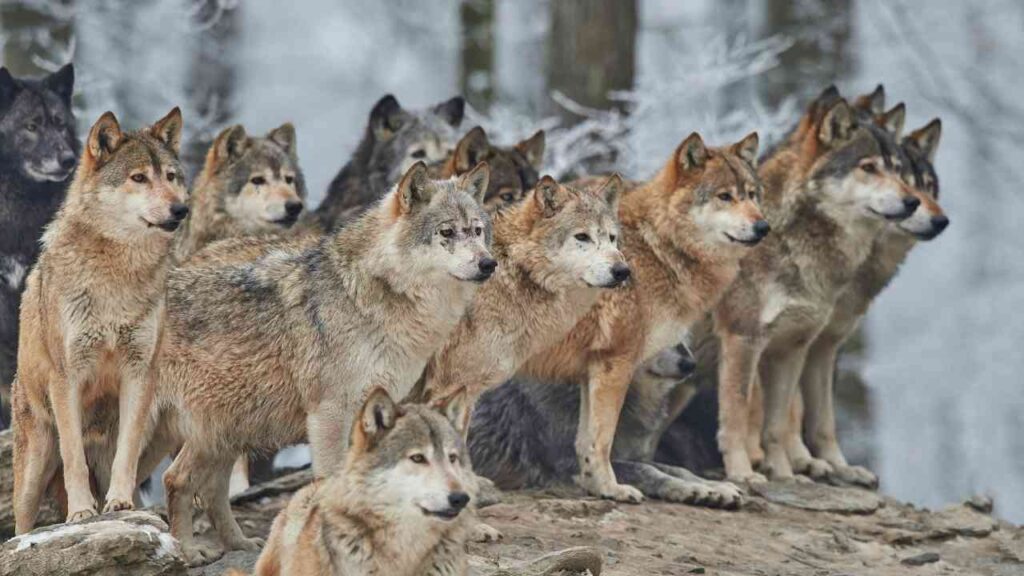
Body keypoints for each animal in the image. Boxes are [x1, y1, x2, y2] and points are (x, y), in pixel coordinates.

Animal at [11, 108, 187, 533]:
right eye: (138, 178)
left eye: (171, 176)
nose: (180, 209)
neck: (117, 276)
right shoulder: (67, 377)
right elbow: (73, 457)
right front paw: (80, 512)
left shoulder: (140, 373)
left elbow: (127, 453)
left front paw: (120, 503)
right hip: (33, 469)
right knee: (21, 526)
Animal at [511, 132, 768, 503]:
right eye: (725, 196)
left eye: (751, 194)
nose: (764, 226)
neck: (659, 247)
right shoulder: (616, 362)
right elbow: (602, 440)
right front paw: (610, 488)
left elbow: (591, 442)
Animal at [713, 87, 921, 484]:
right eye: (868, 167)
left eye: (898, 170)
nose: (913, 201)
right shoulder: (744, 340)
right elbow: (737, 415)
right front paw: (743, 473)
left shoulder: (801, 346)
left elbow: (787, 423)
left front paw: (788, 475)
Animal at [784, 111, 947, 487]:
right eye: (904, 182)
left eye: (928, 186)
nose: (941, 220)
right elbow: (792, 406)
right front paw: (801, 462)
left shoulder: (826, 344)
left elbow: (821, 414)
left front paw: (837, 465)